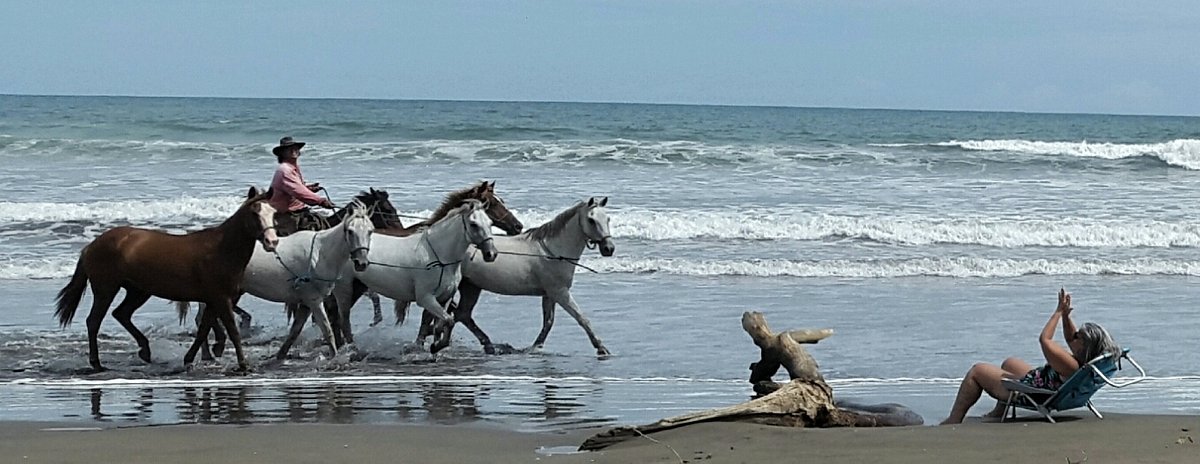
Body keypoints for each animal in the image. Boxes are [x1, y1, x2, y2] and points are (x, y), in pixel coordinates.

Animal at [54, 187, 278, 371]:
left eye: (273, 213)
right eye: (255, 213)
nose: (272, 242)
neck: (221, 249)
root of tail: (91, 246)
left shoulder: (214, 299)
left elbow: (204, 329)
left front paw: (190, 359)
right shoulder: (221, 298)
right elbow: (231, 330)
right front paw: (243, 364)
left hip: (138, 291)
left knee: (121, 314)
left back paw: (145, 351)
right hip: (106, 289)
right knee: (94, 321)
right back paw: (97, 363)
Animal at [415, 196, 619, 357]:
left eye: (607, 218)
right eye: (591, 220)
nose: (608, 248)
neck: (553, 251)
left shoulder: (550, 294)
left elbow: (548, 322)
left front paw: (535, 347)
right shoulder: (560, 292)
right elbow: (582, 318)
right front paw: (601, 348)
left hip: (471, 287)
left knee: (461, 314)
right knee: (444, 315)